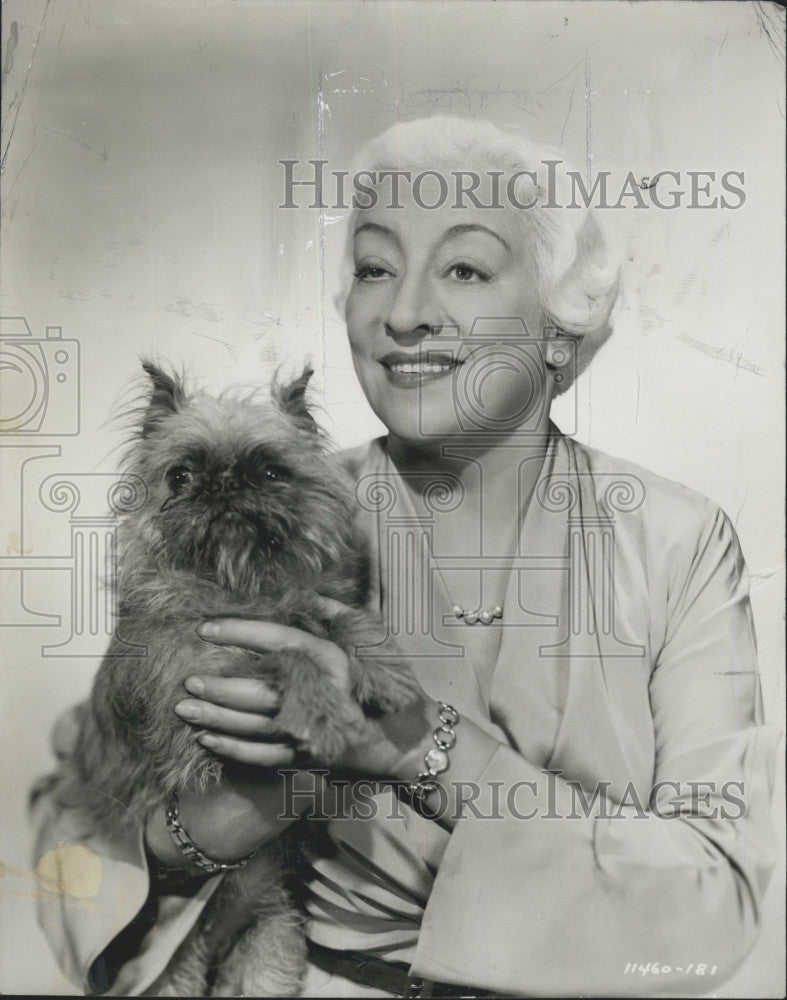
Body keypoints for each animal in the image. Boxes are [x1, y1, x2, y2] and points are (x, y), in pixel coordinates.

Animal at [54, 364, 418, 996]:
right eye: (178, 475)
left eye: (271, 470)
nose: (221, 484)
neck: (238, 586)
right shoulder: (195, 688)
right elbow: (285, 654)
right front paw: (322, 708)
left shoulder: (295, 605)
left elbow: (329, 618)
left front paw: (381, 666)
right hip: (176, 967)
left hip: (269, 946)